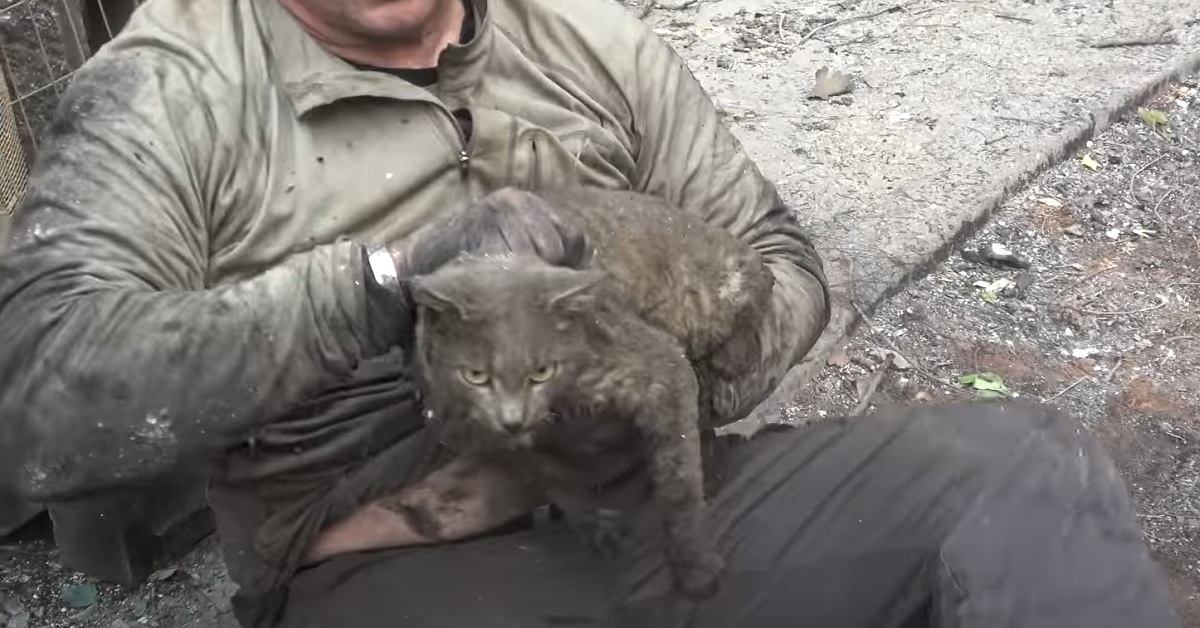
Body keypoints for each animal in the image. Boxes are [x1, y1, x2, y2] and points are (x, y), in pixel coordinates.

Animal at [408, 188, 772, 605]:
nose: (512, 417)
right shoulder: (499, 445)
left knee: (758, 274)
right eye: (476, 376)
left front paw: (694, 566)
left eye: (541, 370)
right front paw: (592, 523)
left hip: (704, 300)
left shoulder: (664, 369)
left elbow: (677, 482)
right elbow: (555, 482)